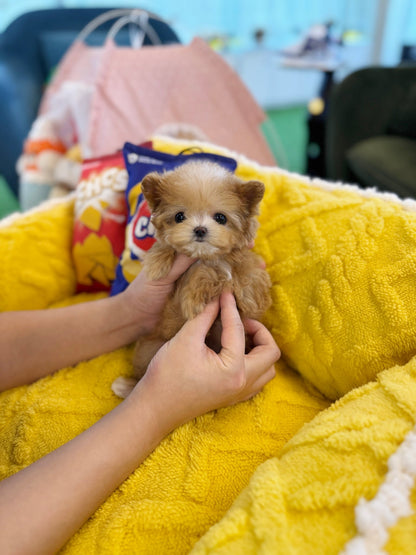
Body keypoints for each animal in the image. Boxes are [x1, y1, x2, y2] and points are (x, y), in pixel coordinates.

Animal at [112, 159, 272, 398]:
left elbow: (244, 269)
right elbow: (172, 251)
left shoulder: (238, 262)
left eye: (220, 218)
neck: (202, 255)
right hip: (150, 348)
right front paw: (158, 263)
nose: (200, 229)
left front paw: (249, 297)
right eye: (179, 216)